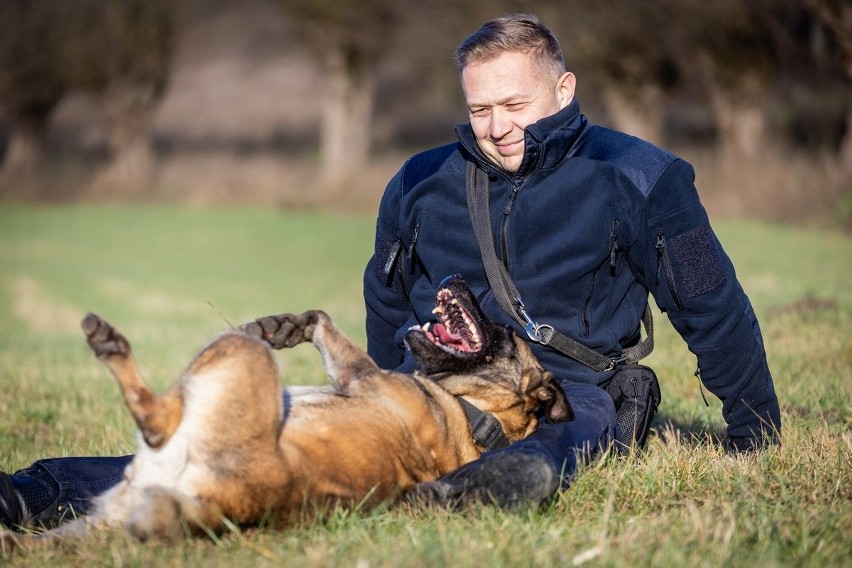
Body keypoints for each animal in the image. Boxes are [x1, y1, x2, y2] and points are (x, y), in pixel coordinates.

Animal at [1, 276, 572, 552]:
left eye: (507, 332)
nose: (458, 276)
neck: (480, 418)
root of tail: (222, 505)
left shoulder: (360, 374)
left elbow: (328, 325)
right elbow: (319, 318)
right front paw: (283, 324)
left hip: (237, 364)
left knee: (156, 415)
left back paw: (110, 342)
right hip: (94, 526)